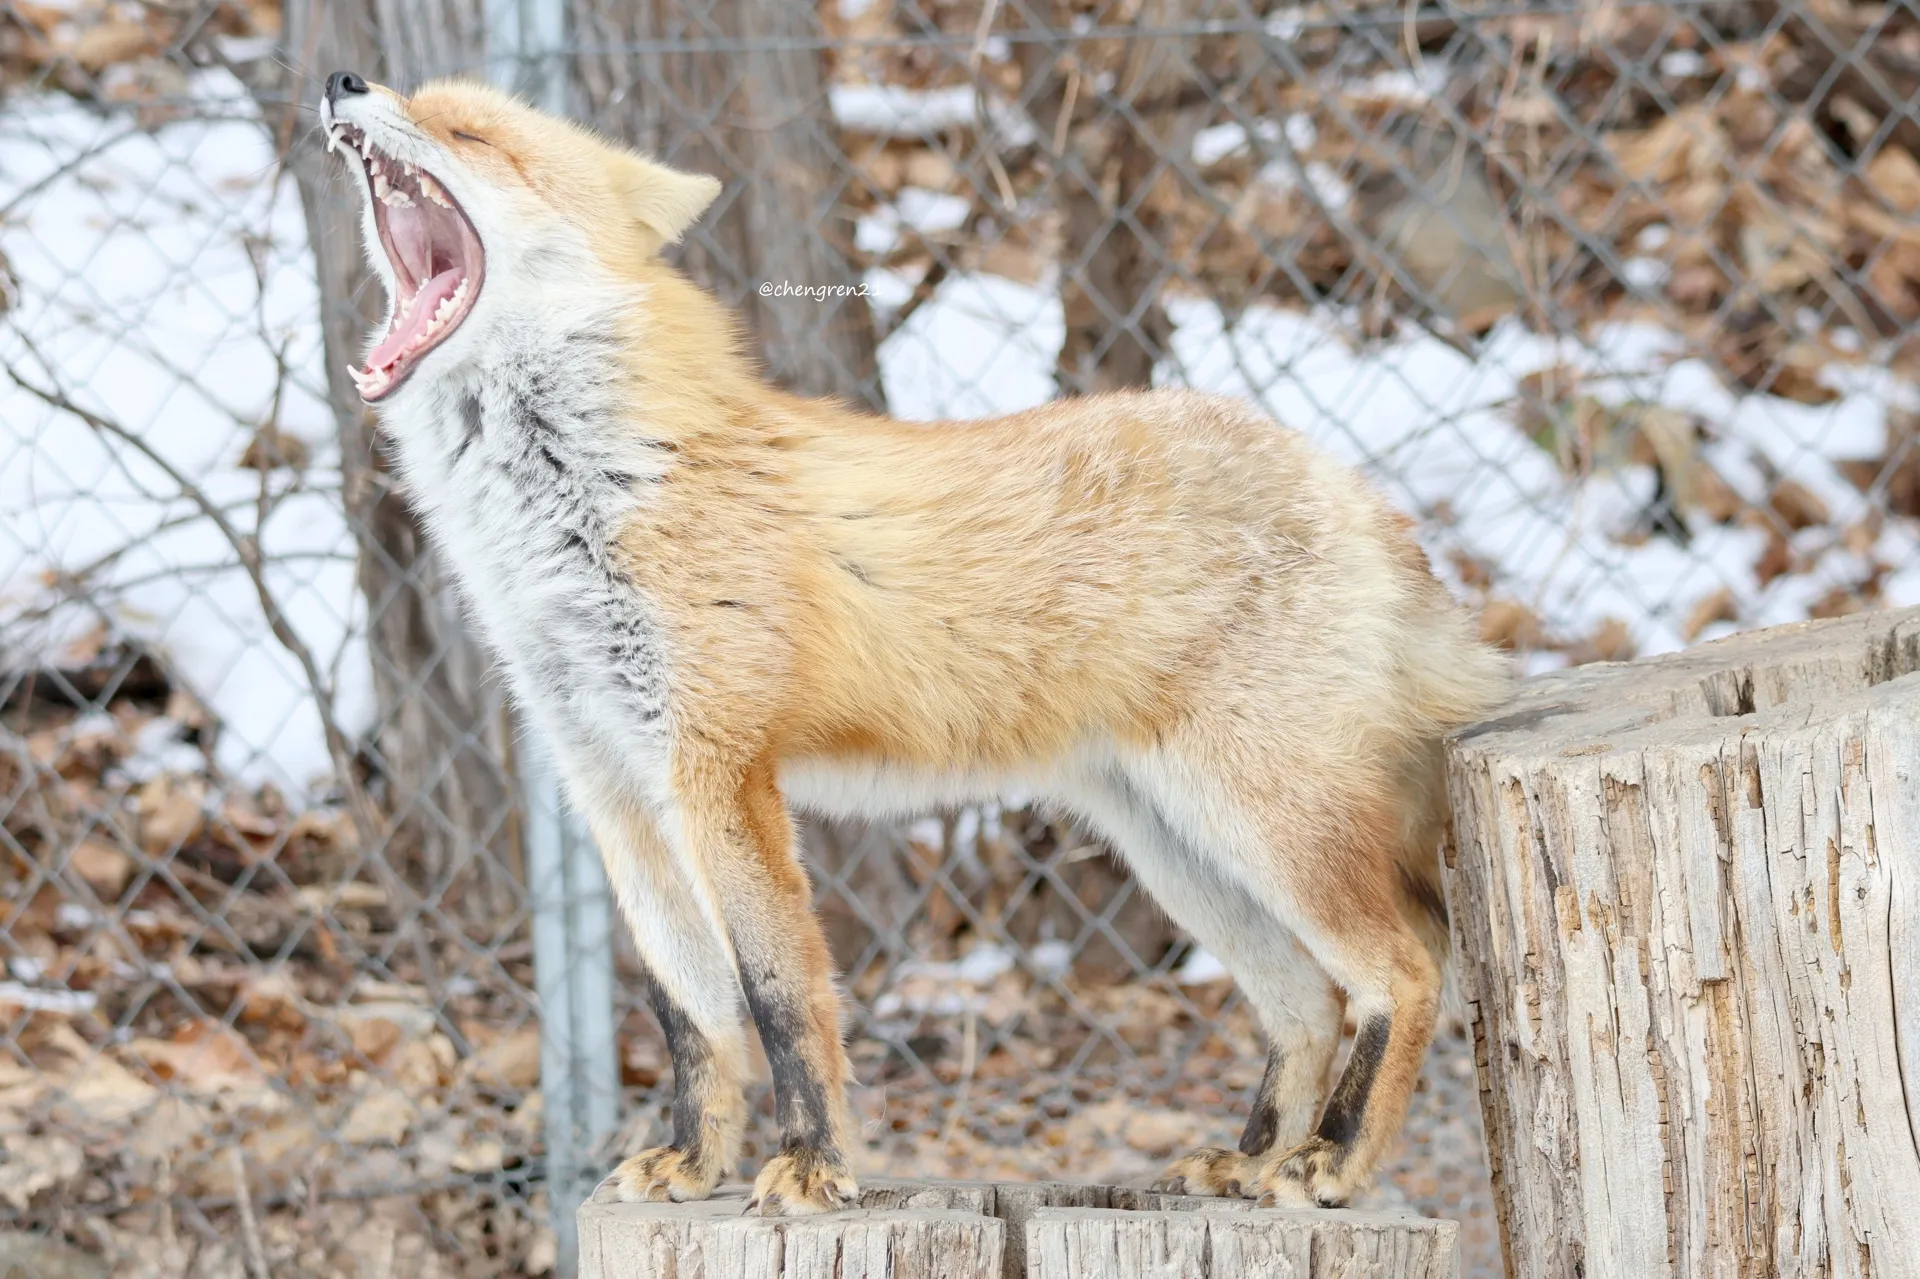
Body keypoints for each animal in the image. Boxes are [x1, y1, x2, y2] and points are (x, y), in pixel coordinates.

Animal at [317, 70, 1512, 1216]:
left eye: (472, 134)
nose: (343, 81)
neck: (584, 502)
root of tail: (1351, 486)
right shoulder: (610, 784)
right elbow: (686, 1005)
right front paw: (693, 1160)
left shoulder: (720, 770)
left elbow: (779, 994)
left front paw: (810, 1168)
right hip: (1176, 840)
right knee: (1307, 1000)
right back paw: (1255, 1157)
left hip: (1262, 818)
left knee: (1407, 966)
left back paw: (1335, 1160)